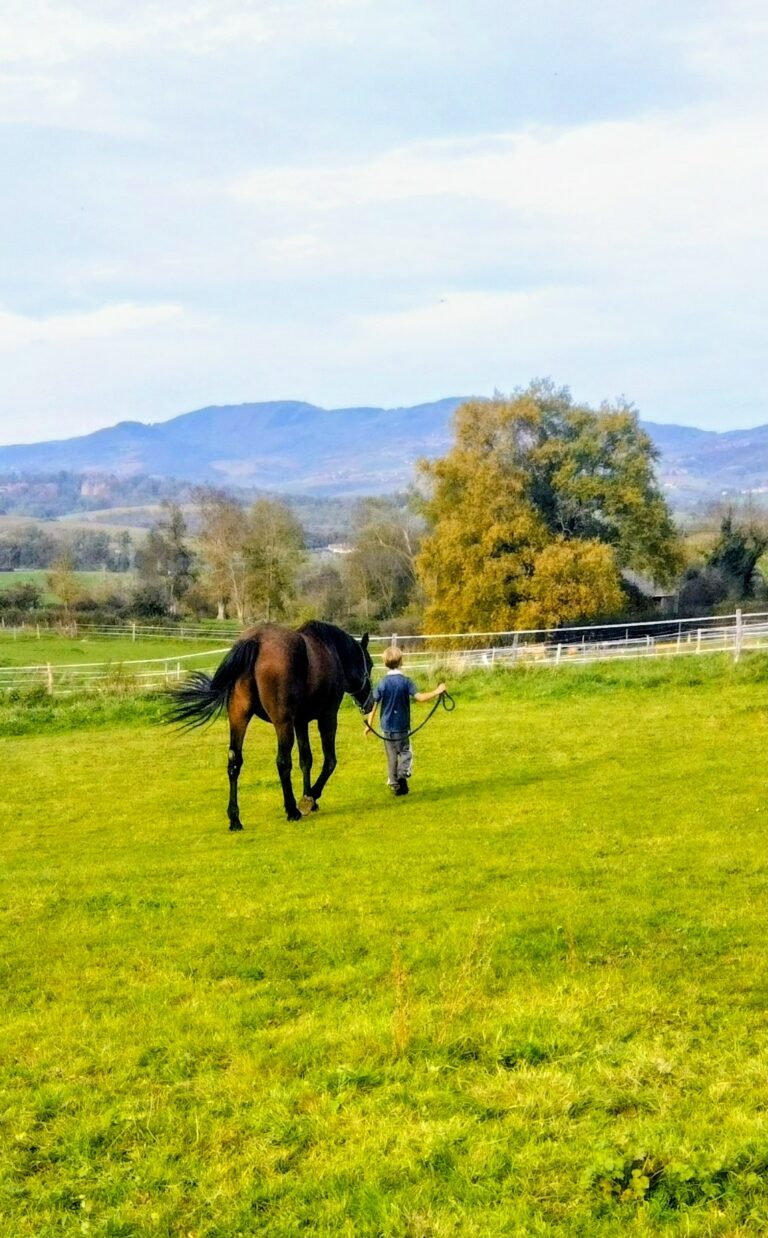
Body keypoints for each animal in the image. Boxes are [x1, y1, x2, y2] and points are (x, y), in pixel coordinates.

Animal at [166, 620, 374, 829]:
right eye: (370, 665)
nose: (370, 703)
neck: (330, 651)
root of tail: (255, 641)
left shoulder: (300, 721)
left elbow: (306, 759)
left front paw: (309, 798)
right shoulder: (327, 717)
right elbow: (329, 761)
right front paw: (309, 799)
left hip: (239, 717)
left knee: (234, 761)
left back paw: (235, 819)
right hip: (282, 723)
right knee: (282, 762)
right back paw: (292, 810)